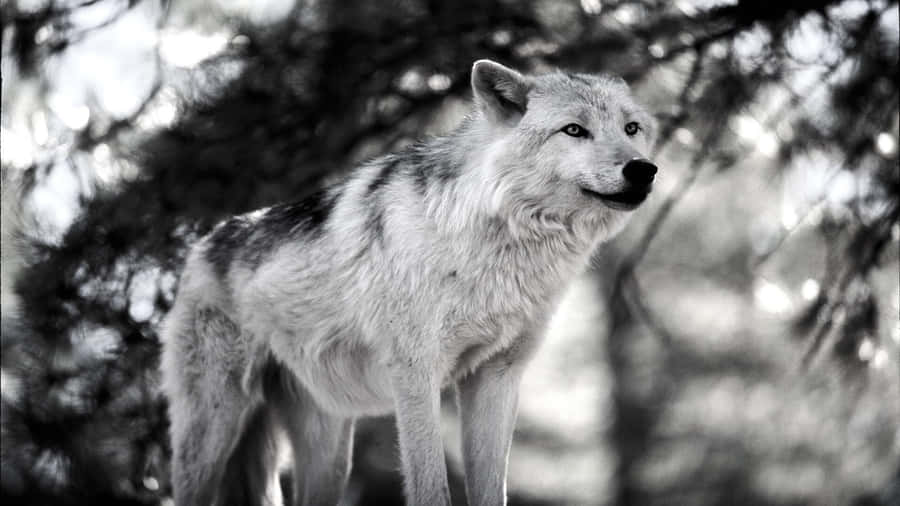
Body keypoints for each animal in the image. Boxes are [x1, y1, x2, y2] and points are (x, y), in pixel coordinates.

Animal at [160, 59, 658, 506]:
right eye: (574, 130)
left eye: (631, 128)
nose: (643, 169)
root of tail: (203, 242)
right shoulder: (416, 375)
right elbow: (431, 487)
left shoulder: (496, 378)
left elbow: (490, 490)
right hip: (212, 431)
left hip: (328, 452)